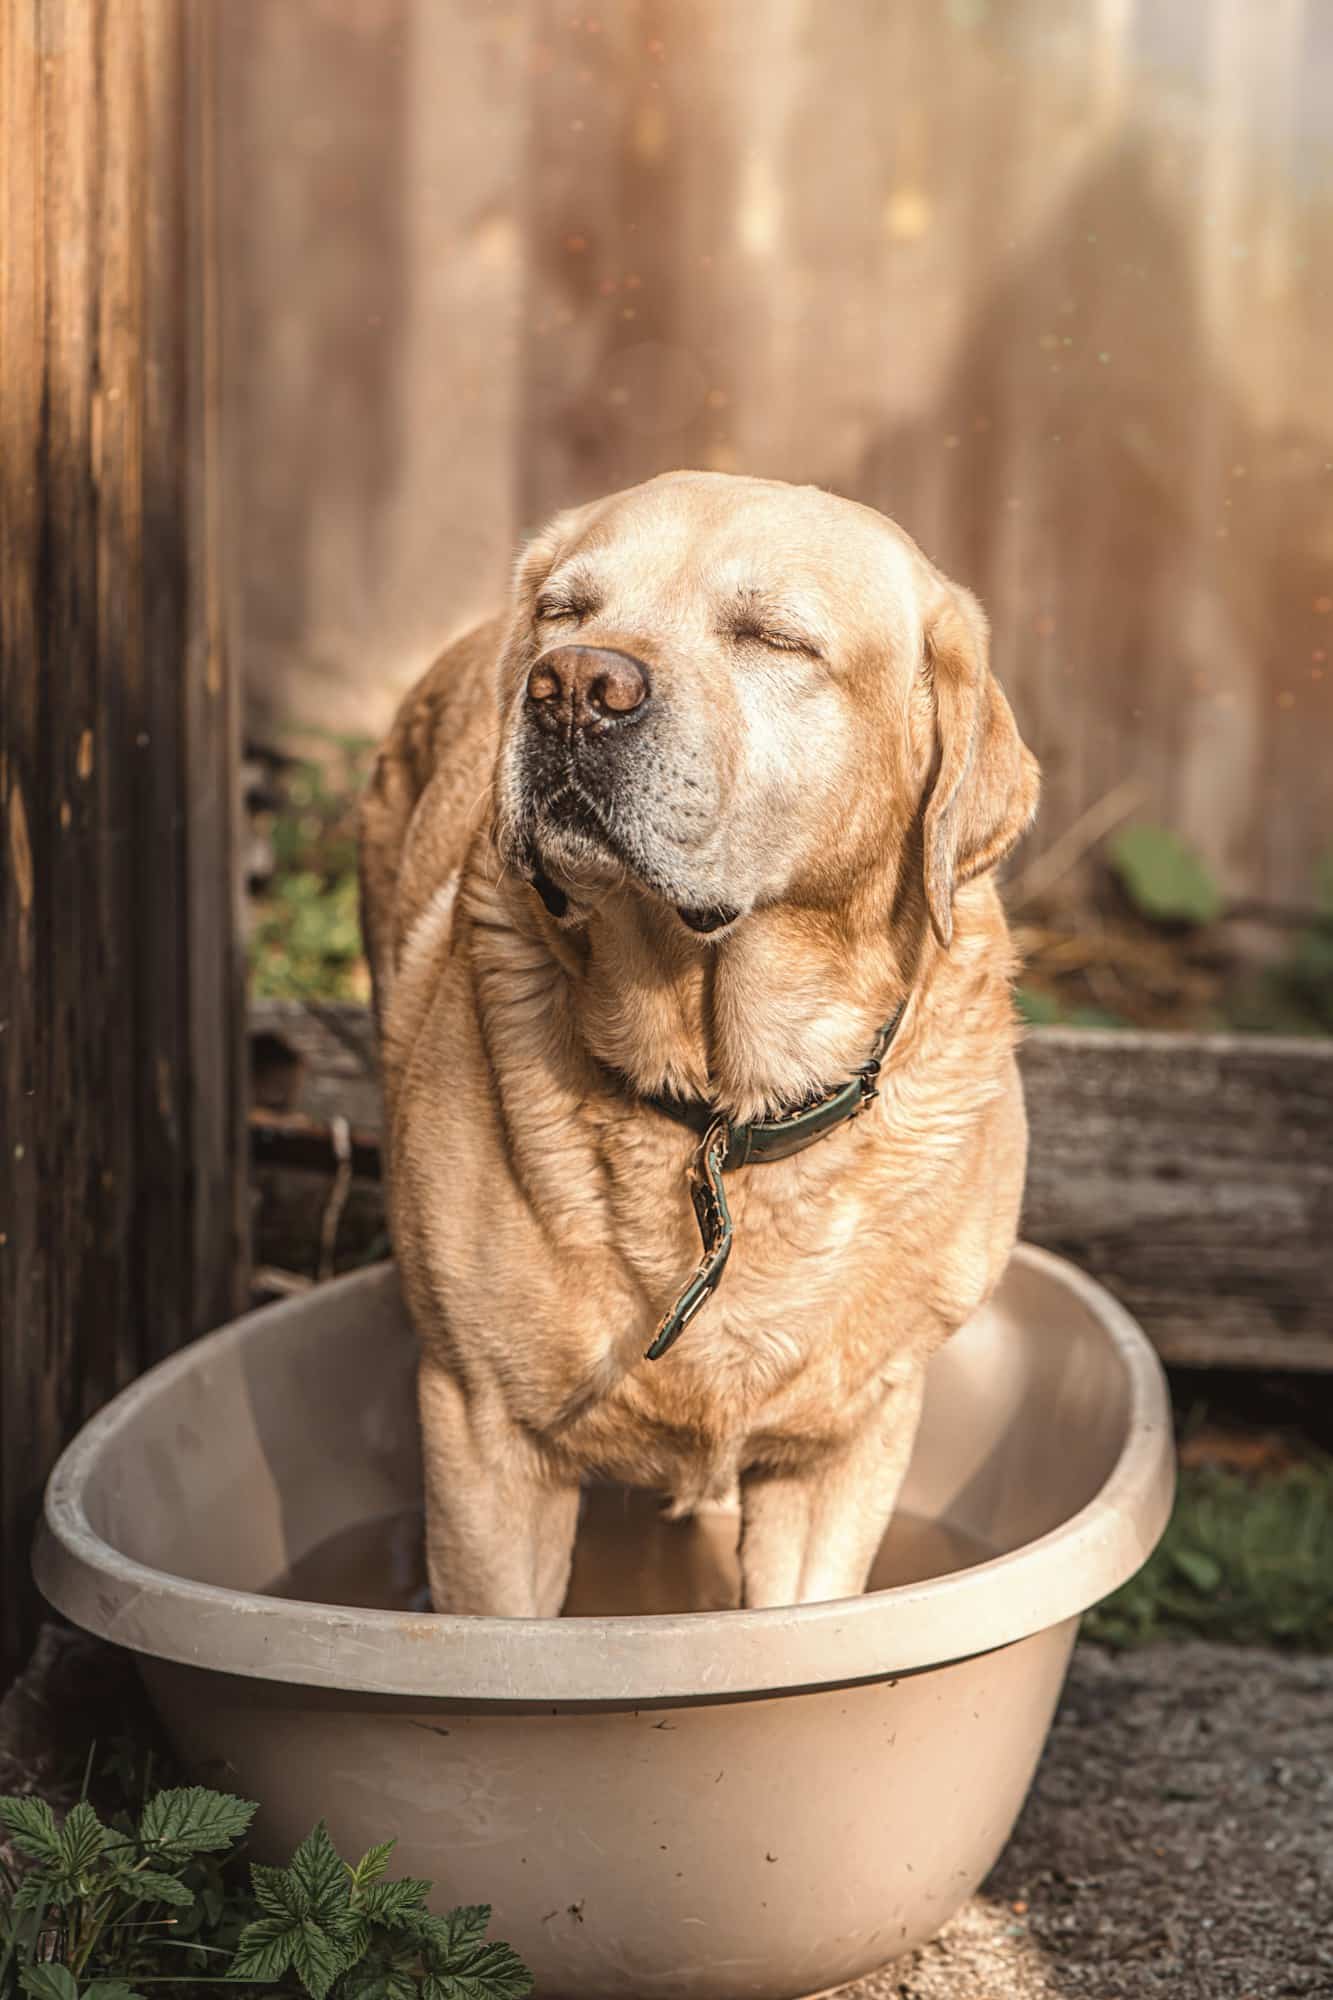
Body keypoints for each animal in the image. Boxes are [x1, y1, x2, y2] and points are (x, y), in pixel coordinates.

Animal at [358, 472, 1032, 1624]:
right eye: (567, 610)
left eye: (772, 637)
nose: (570, 686)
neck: (723, 1102)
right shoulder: (482, 1441)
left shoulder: (842, 1446)